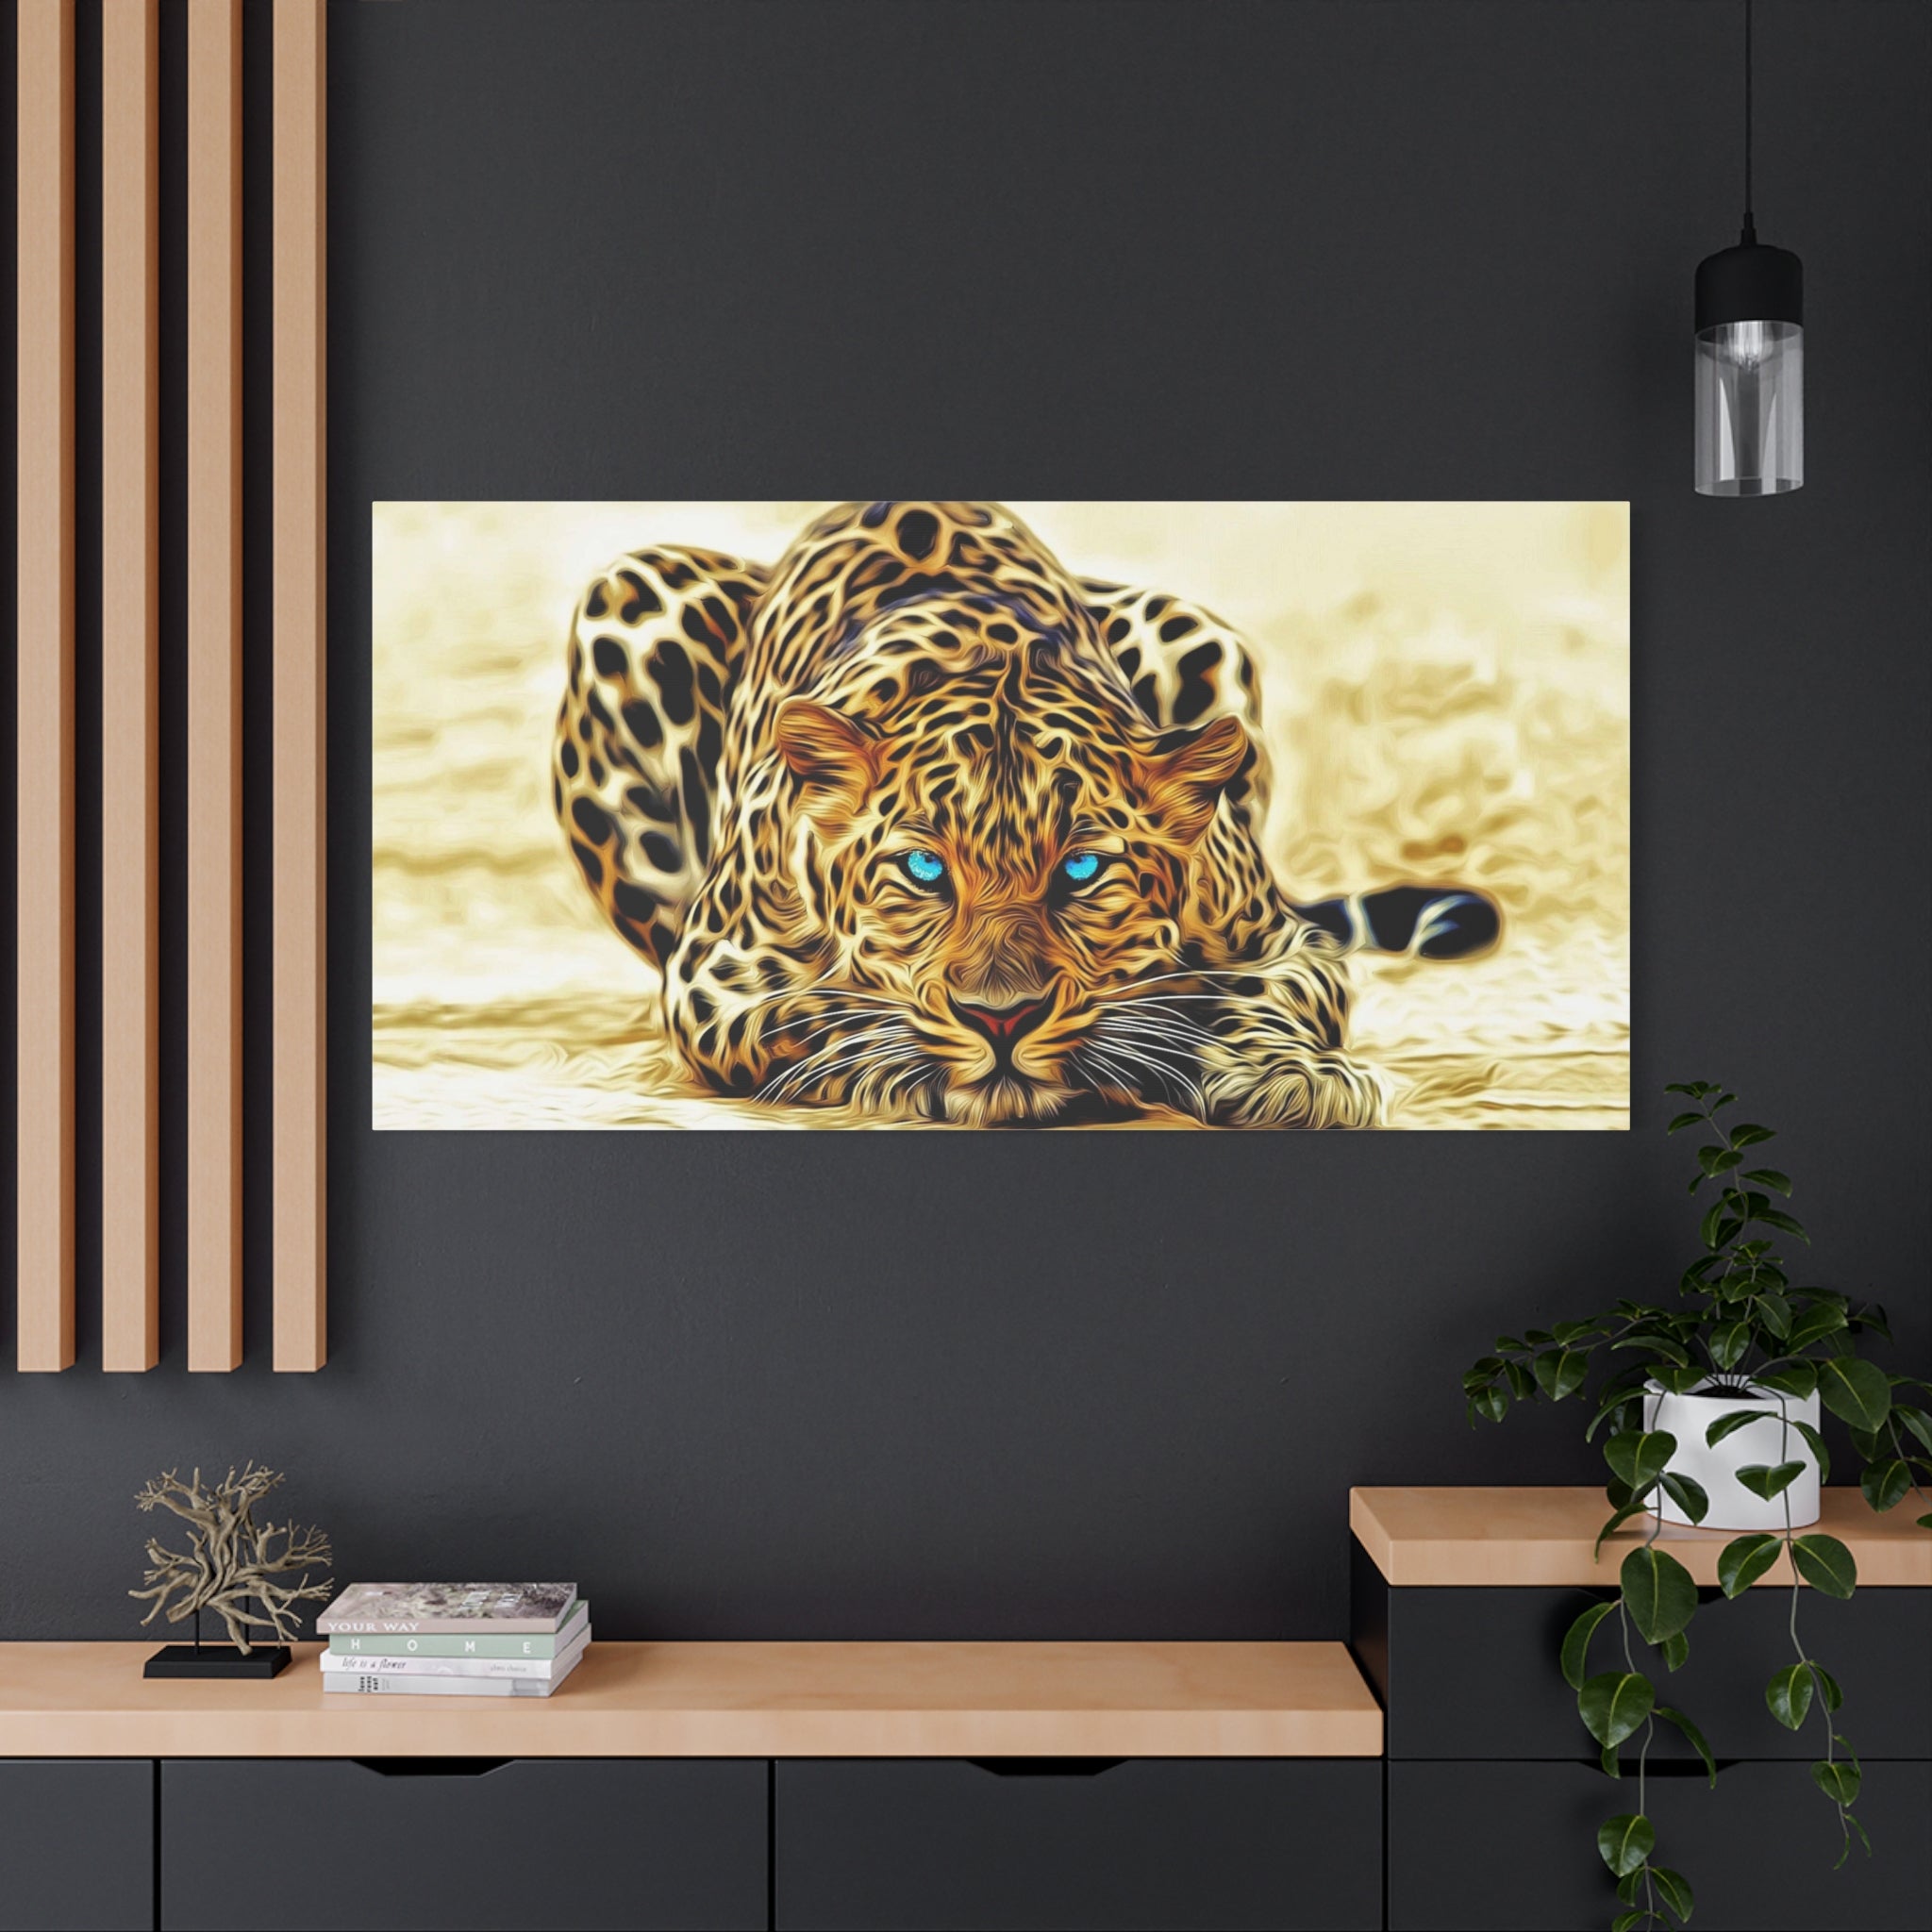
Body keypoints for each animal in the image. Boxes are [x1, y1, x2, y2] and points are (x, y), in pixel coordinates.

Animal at [551, 501, 1498, 1127]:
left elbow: (1275, 992)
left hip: (1196, 630)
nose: (1001, 1019)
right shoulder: (714, 975)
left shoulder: (1281, 940)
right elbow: (817, 1013)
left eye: (1082, 868)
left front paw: (1289, 1075)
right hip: (629, 594)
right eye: (924, 869)